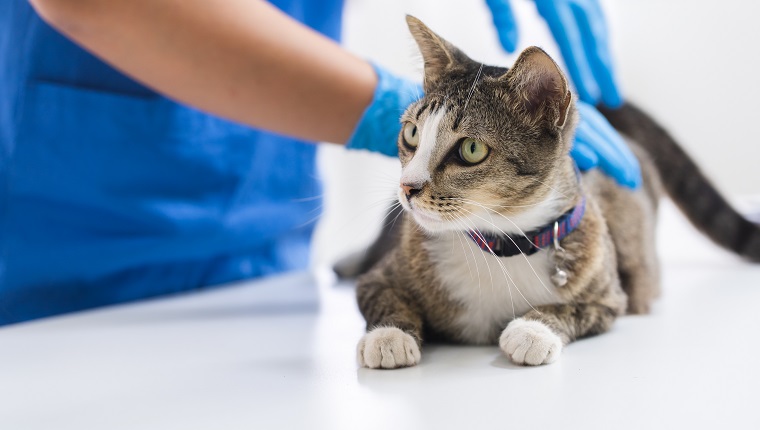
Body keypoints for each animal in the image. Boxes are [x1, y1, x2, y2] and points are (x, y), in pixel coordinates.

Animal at [344, 15, 760, 368]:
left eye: (471, 149)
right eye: (412, 133)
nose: (407, 187)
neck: (500, 245)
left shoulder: (611, 293)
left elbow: (580, 309)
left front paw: (534, 329)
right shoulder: (384, 273)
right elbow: (382, 294)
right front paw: (389, 336)